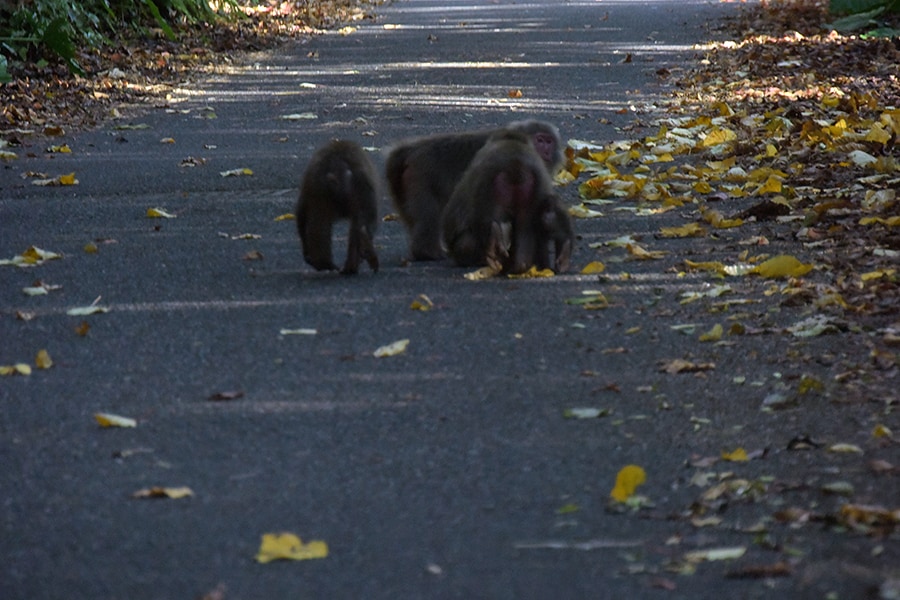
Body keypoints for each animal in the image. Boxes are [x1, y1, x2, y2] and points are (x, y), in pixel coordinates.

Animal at [440, 130, 572, 276]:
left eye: (547, 143)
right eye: (540, 141)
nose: (545, 151)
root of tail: (516, 166)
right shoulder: (540, 173)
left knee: (468, 241)